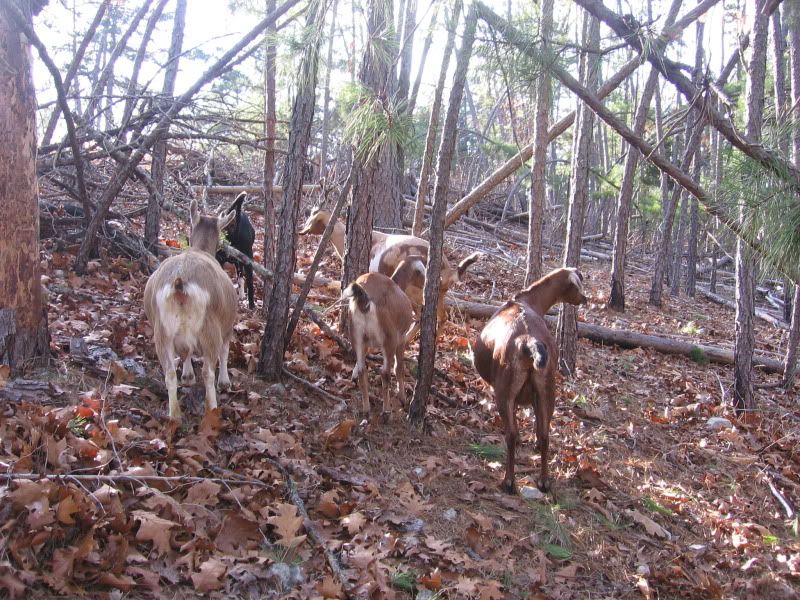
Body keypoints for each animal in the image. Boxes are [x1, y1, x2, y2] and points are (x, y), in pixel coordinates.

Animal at [143, 200, 238, 421]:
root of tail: (180, 285)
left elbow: (186, 351)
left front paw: (187, 376)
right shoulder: (228, 324)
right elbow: (225, 350)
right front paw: (225, 382)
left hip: (162, 332)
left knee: (169, 372)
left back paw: (174, 414)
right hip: (209, 329)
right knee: (208, 371)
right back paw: (212, 410)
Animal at [300, 208, 481, 330]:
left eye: (312, 219)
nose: (301, 229)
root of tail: (447, 270)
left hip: (414, 291)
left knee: (419, 316)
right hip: (439, 296)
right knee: (441, 318)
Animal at [342, 267, 415, 418]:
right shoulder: (401, 338)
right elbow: (399, 368)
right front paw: (402, 397)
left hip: (357, 336)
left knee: (362, 370)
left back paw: (366, 409)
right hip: (389, 340)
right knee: (385, 372)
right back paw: (386, 410)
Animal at [471, 268, 588, 493]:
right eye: (577, 284)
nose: (585, 298)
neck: (529, 300)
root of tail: (528, 342)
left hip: (505, 389)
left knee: (510, 434)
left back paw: (508, 481)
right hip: (547, 389)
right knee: (545, 434)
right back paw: (544, 481)